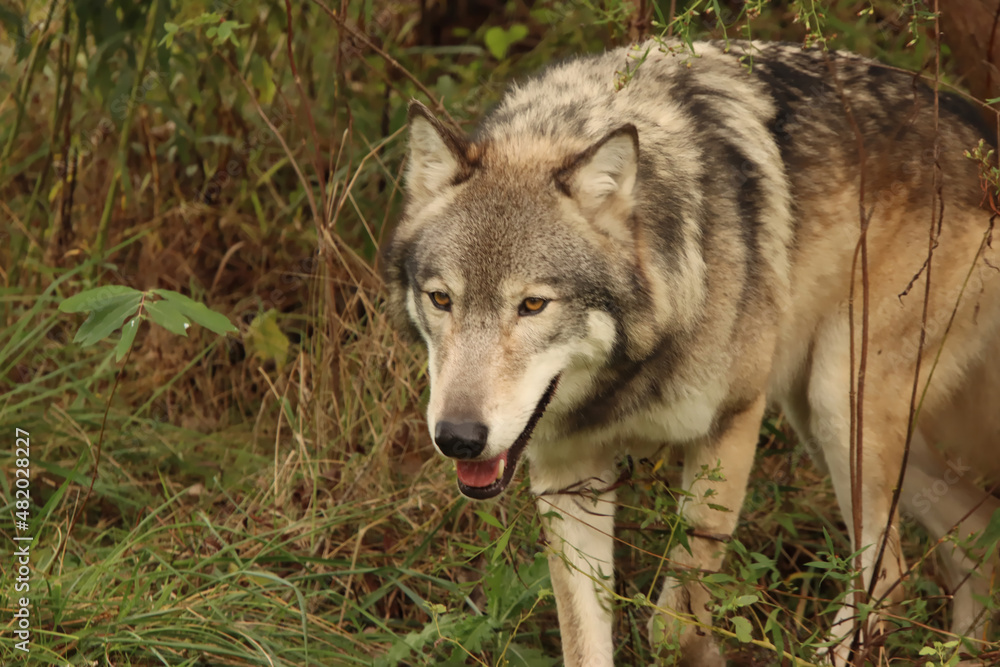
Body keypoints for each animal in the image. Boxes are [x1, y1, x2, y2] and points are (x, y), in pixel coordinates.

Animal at [383, 39, 1000, 665]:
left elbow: (674, 622)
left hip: (840, 402)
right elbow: (586, 641)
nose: (458, 438)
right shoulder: (568, 471)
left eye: (532, 305)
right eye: (441, 299)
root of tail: (980, 129)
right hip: (824, 419)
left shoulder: (730, 424)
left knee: (889, 572)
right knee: (976, 534)